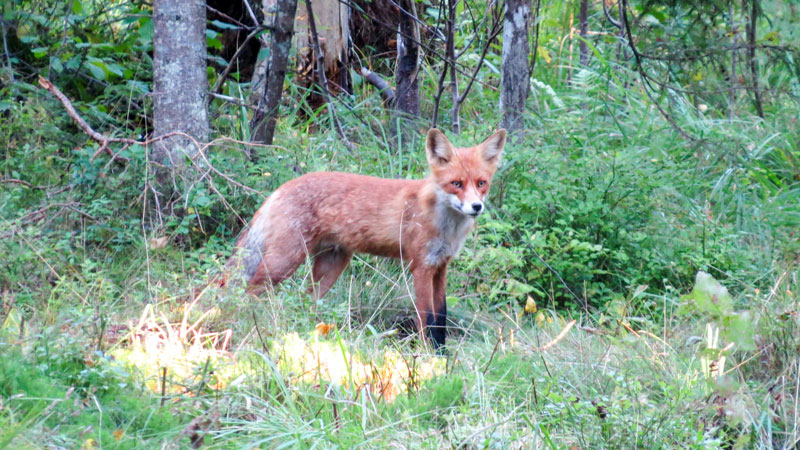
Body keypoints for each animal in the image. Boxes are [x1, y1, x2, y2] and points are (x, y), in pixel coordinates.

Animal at [227, 128, 506, 348]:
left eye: (481, 183)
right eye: (456, 184)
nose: (476, 207)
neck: (443, 223)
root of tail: (282, 187)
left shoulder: (440, 267)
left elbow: (441, 318)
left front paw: (442, 355)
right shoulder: (421, 267)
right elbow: (426, 318)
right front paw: (428, 356)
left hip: (331, 267)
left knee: (306, 300)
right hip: (283, 262)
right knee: (248, 290)